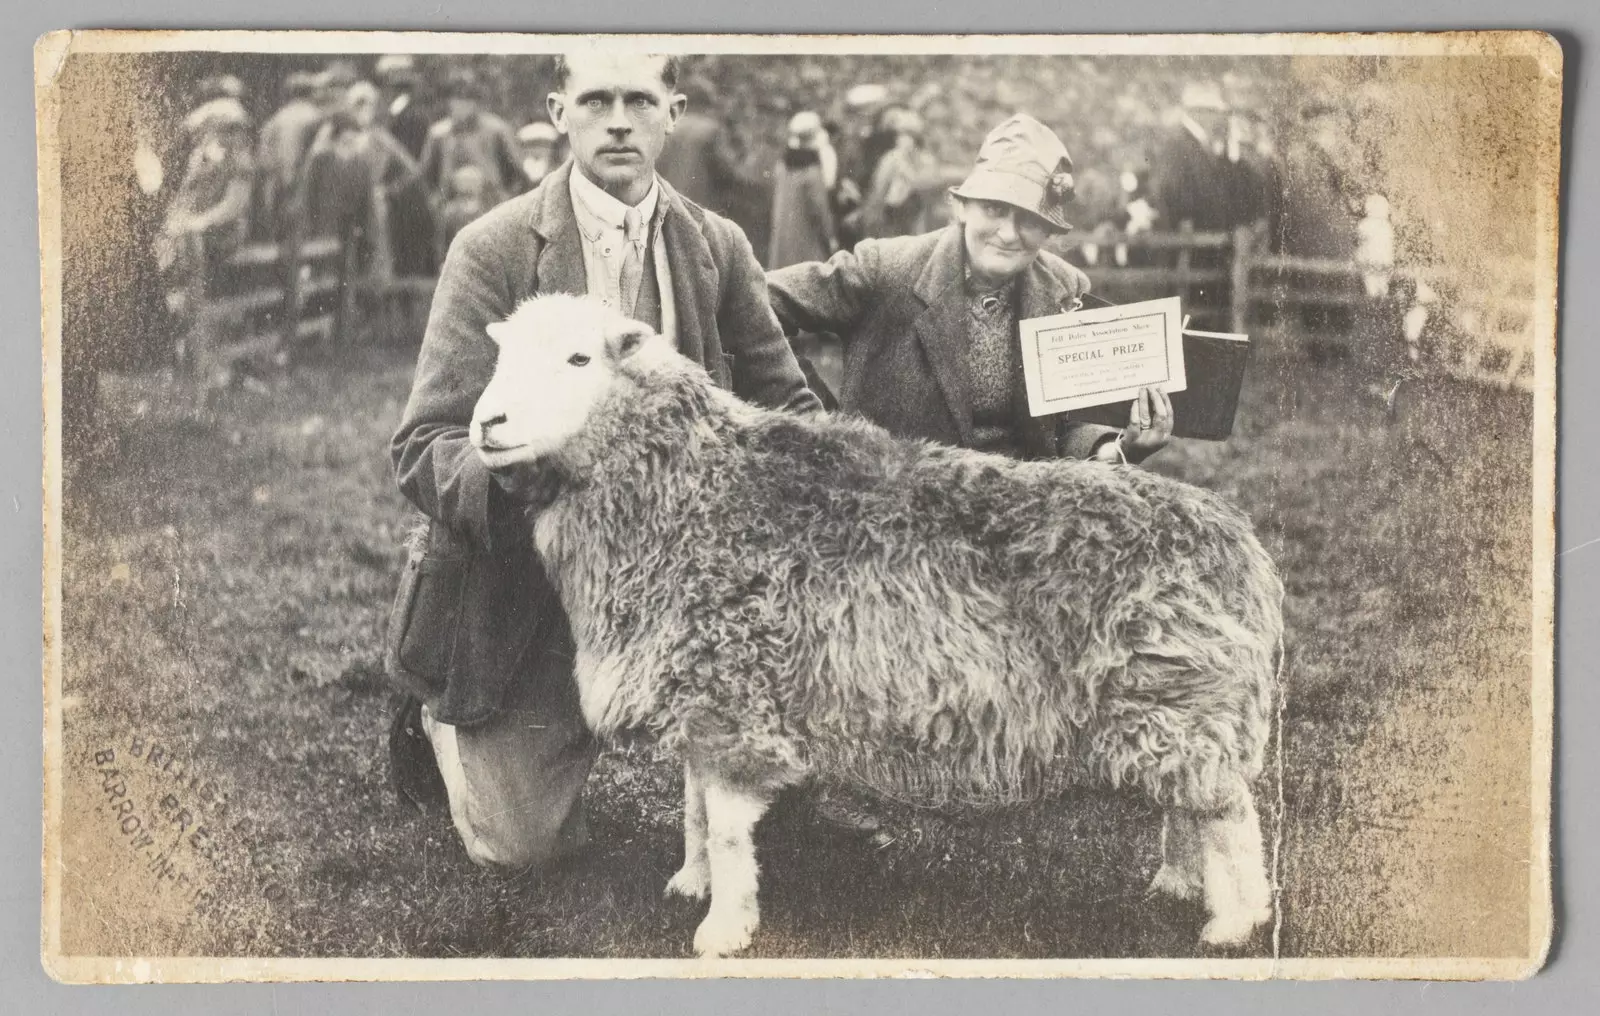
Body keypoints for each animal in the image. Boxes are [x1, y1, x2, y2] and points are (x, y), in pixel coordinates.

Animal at [467, 296, 1280, 960]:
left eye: (579, 359)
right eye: (501, 357)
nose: (486, 424)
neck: (690, 489)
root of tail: (1239, 541)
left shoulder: (735, 697)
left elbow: (725, 826)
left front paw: (724, 930)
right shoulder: (702, 691)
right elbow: (694, 809)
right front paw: (692, 884)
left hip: (1184, 702)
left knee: (1229, 815)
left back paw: (1235, 922)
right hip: (1171, 707)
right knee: (1189, 805)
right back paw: (1178, 884)